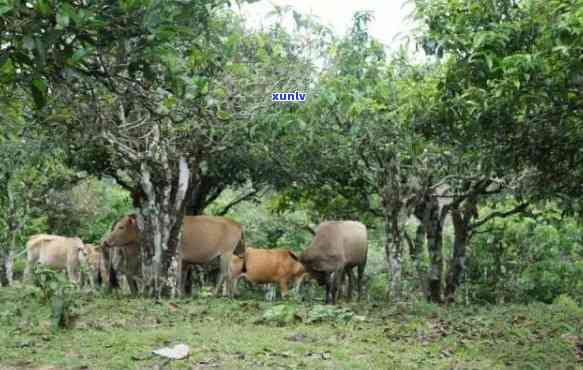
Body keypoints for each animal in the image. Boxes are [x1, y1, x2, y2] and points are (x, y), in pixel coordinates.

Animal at [101, 214, 245, 294]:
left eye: (121, 227)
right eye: (116, 226)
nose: (106, 241)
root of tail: (238, 224)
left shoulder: (178, 256)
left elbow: (175, 276)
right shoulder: (185, 261)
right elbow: (180, 277)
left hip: (226, 253)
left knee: (224, 273)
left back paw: (217, 293)